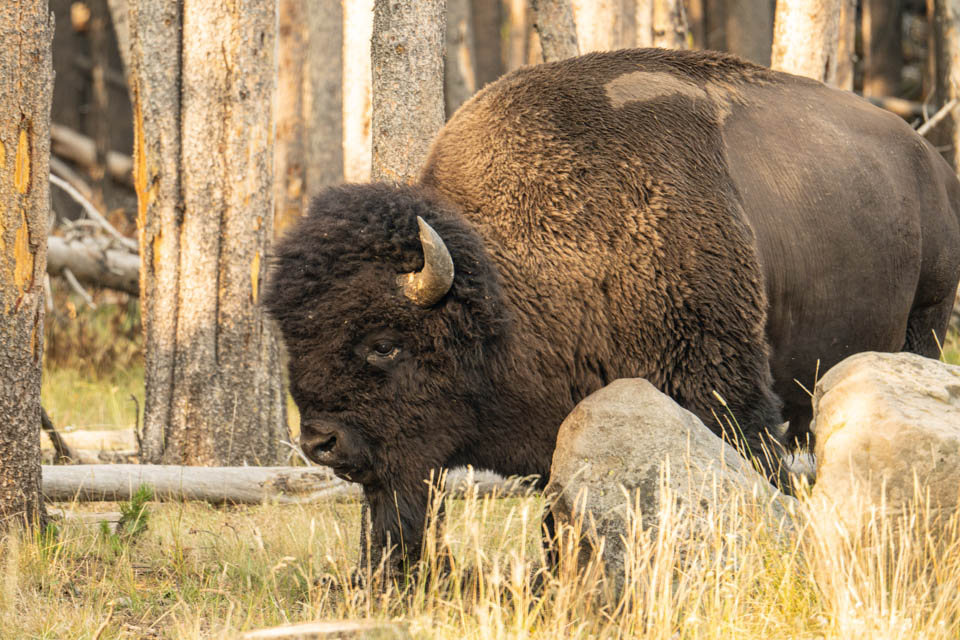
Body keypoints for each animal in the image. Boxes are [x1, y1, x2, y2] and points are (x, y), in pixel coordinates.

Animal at [264, 48, 960, 570]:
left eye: (384, 342)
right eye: (294, 339)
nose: (319, 441)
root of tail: (929, 159)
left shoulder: (723, 387)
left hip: (925, 323)